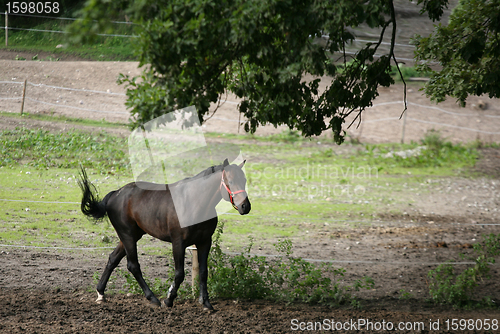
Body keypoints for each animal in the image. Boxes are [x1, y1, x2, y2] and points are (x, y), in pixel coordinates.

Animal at [77, 159, 250, 310]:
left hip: (130, 236)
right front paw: (169, 299)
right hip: (128, 236)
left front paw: (206, 303)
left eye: (244, 180)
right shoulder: (178, 243)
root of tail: (115, 194)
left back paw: (101, 293)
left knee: (113, 258)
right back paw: (152, 298)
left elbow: (203, 272)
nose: (245, 206)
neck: (194, 202)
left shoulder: (205, 242)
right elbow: (179, 274)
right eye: (230, 181)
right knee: (133, 265)